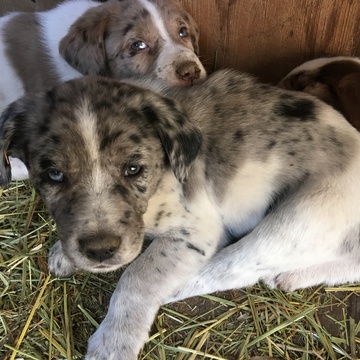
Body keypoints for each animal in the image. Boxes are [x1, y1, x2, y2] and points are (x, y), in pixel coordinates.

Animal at [0, 71, 360, 360]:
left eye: (134, 169)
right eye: (54, 175)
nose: (100, 251)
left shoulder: (195, 231)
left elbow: (138, 276)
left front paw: (113, 343)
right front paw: (64, 254)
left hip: (299, 217)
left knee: (233, 268)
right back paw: (292, 276)